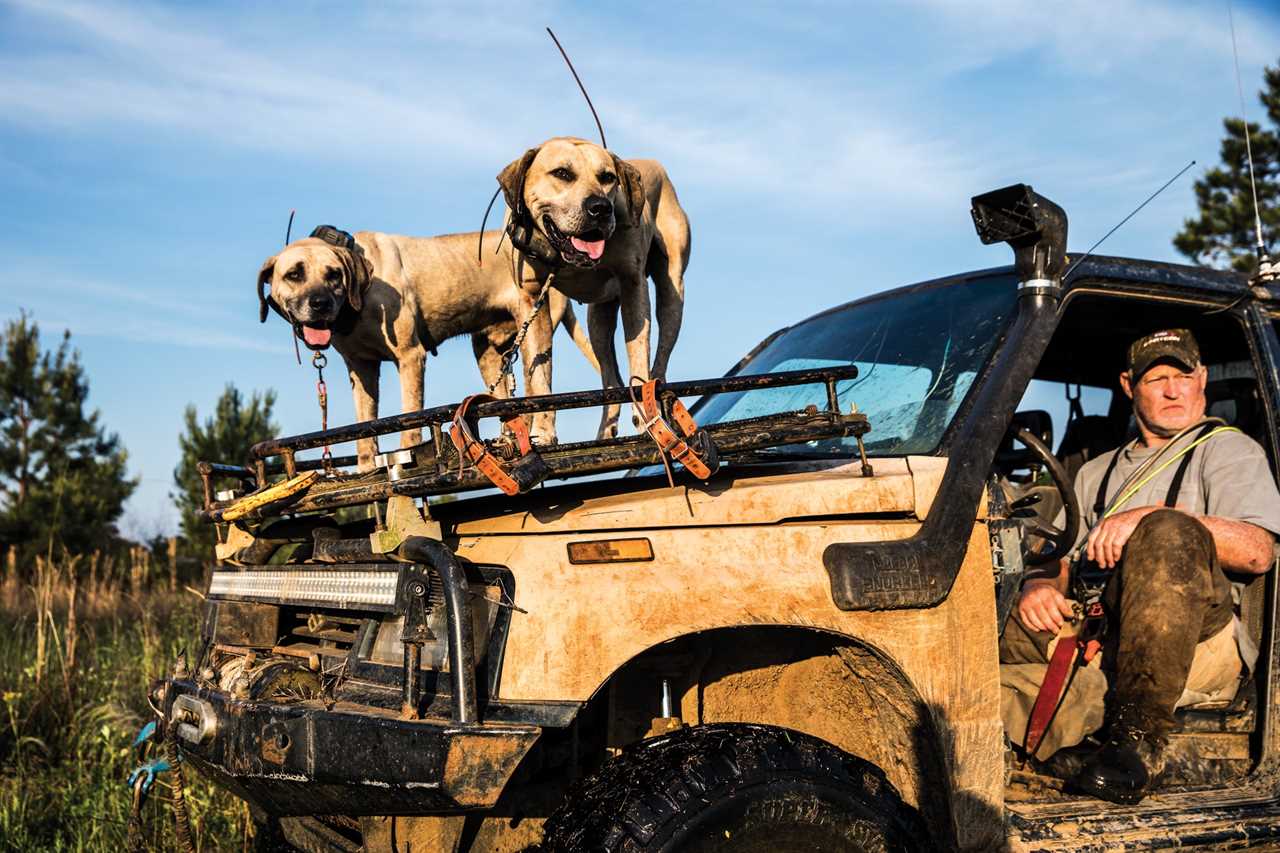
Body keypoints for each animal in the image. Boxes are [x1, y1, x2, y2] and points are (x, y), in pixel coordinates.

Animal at [258, 225, 599, 466]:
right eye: (294, 274)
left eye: (333, 275)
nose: (320, 304)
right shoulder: (360, 367)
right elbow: (366, 429)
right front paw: (367, 468)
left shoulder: (410, 357)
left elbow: (409, 421)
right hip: (488, 351)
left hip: (534, 332)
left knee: (540, 391)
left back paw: (543, 434)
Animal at [494, 137, 691, 438]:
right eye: (562, 173)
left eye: (608, 177)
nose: (600, 207)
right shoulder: (532, 299)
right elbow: (539, 376)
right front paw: (543, 430)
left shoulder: (633, 285)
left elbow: (639, 353)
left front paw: (645, 411)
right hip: (598, 318)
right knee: (611, 377)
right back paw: (605, 431)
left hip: (672, 289)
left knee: (660, 357)